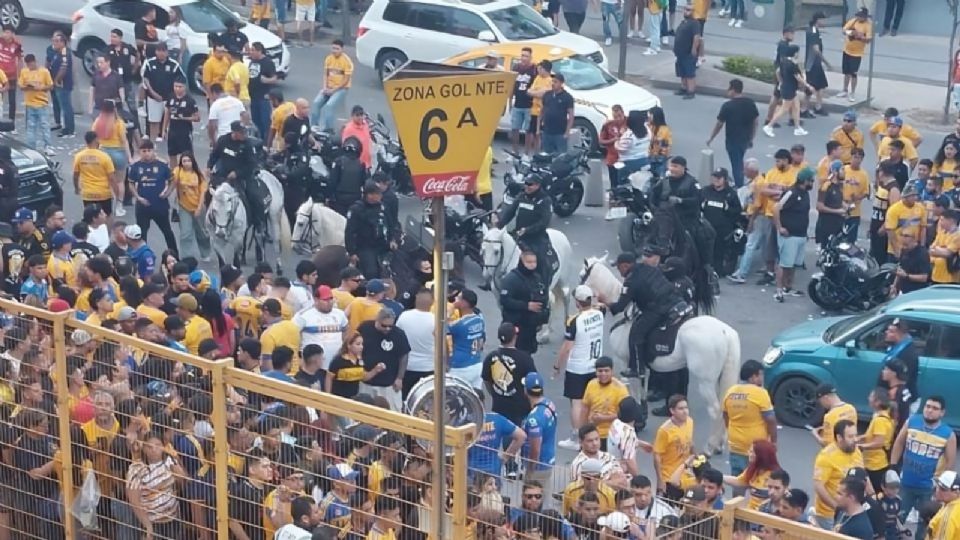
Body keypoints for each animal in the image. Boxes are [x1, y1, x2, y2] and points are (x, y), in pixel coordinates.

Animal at [576, 255, 744, 454]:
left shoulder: (627, 364)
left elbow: (633, 393)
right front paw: (641, 420)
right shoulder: (643, 369)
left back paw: (711, 446)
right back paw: (719, 443)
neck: (625, 318)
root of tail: (725, 332)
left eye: (582, 275)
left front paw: (636, 422)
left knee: (715, 410)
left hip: (706, 382)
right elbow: (642, 392)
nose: (576, 293)